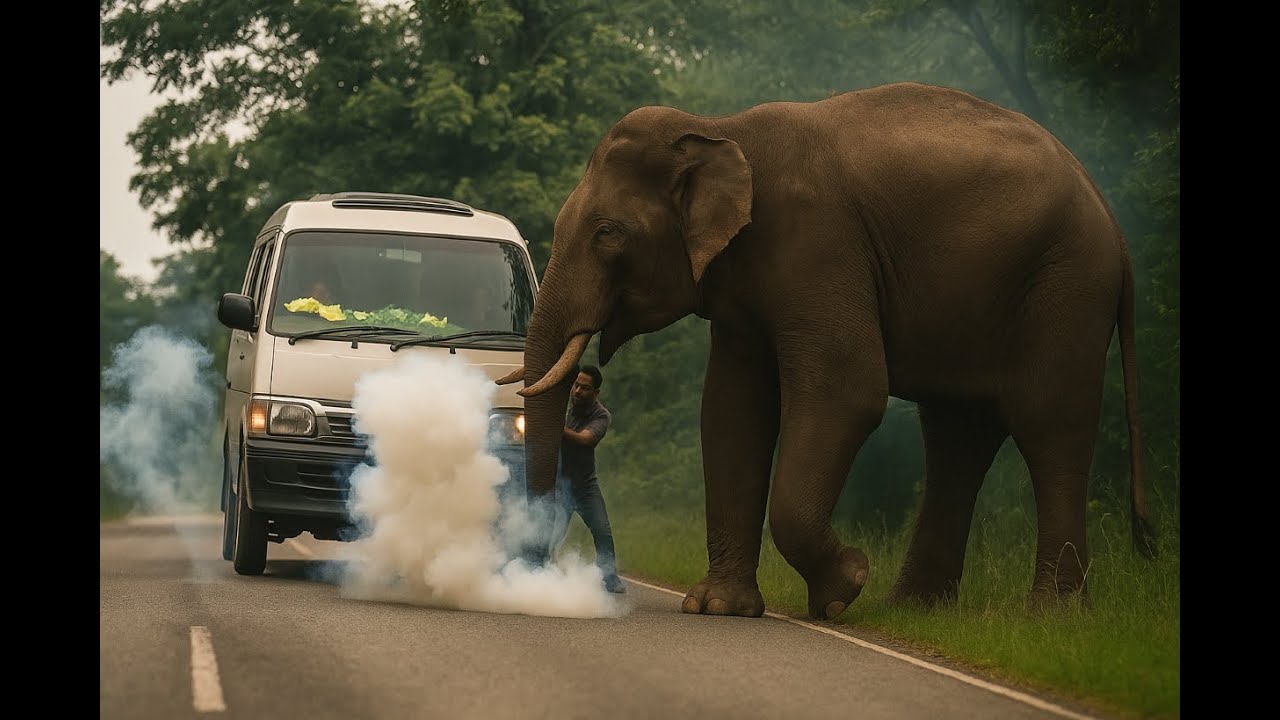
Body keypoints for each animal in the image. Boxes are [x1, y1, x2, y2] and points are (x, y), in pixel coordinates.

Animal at [498, 81, 1155, 620]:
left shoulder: (818, 243)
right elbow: (732, 410)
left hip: (1067, 284)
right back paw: (913, 609)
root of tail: (1113, 220)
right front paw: (719, 608)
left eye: (608, 233)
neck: (721, 128)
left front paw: (845, 586)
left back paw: (1052, 617)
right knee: (958, 435)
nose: (533, 571)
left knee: (1049, 422)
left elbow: (848, 390)